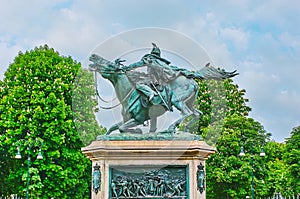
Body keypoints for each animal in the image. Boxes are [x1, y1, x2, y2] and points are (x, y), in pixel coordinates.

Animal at [88, 53, 237, 134]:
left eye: (109, 64)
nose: (93, 57)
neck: (128, 95)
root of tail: (192, 80)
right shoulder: (129, 118)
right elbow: (114, 127)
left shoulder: (138, 119)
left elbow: (122, 128)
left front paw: (136, 131)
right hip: (189, 102)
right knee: (197, 114)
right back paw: (186, 129)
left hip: (178, 101)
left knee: (187, 113)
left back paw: (171, 128)